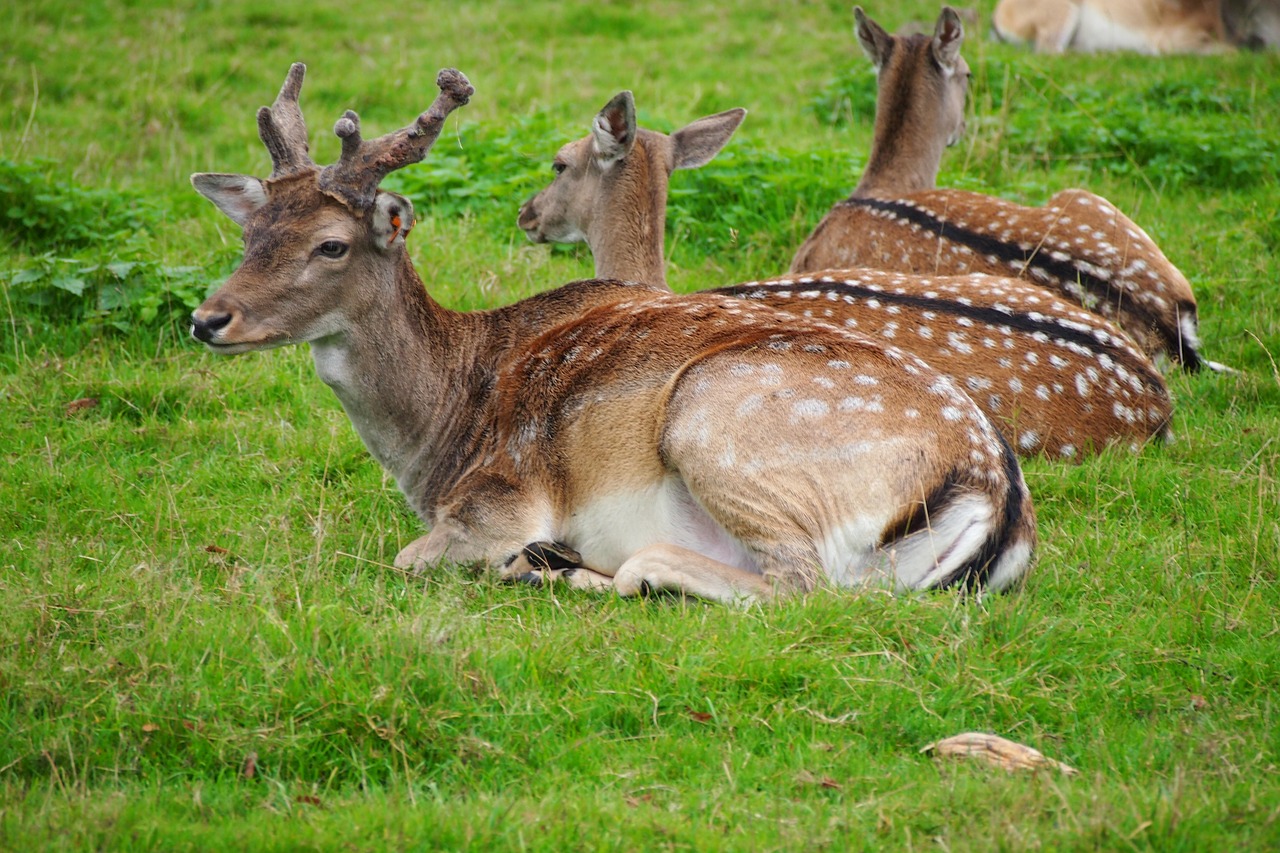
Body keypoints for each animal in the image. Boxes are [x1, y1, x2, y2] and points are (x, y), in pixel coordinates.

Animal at [186, 64, 1039, 596]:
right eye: (250, 231)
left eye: (331, 244)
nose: (207, 317)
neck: (439, 434)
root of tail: (993, 492)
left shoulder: (500, 495)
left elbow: (405, 559)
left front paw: (533, 555)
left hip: (717, 426)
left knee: (803, 585)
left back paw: (601, 566)